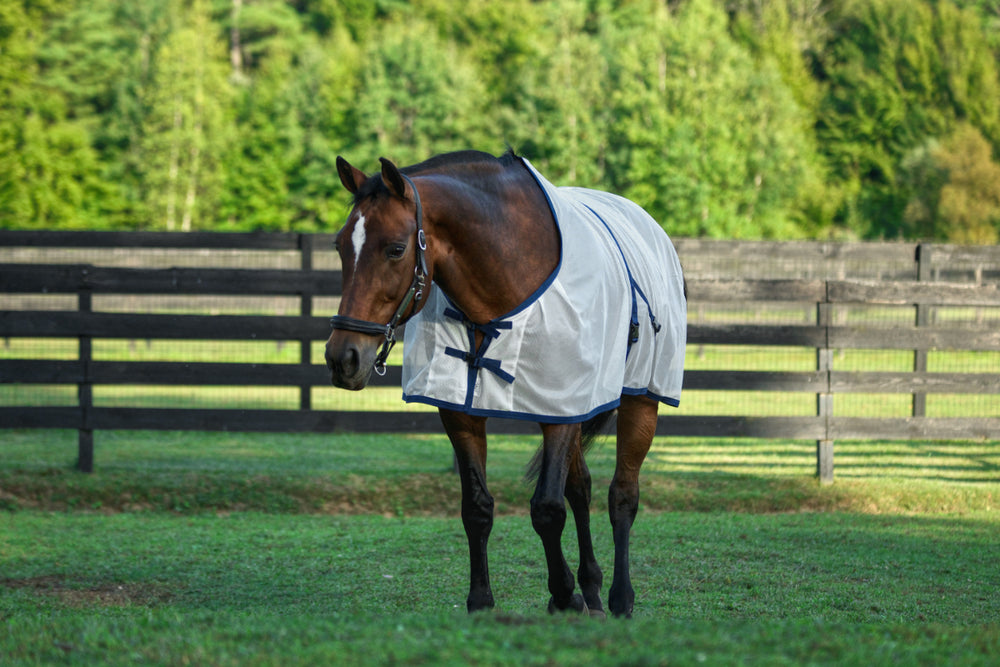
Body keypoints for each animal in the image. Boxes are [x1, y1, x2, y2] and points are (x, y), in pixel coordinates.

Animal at [324, 151, 684, 620]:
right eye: (339, 246)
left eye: (396, 249)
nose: (342, 358)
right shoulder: (463, 414)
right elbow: (477, 507)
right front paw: (483, 600)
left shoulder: (561, 409)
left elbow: (547, 509)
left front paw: (563, 595)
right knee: (581, 489)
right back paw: (591, 589)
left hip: (640, 400)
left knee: (621, 494)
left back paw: (620, 598)